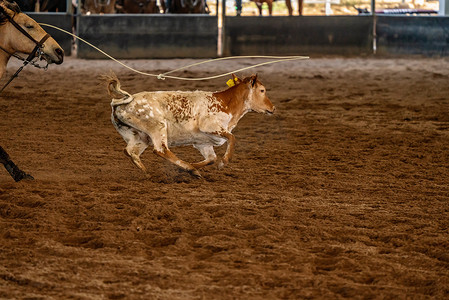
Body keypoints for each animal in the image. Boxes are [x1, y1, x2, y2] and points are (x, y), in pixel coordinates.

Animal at [106, 73, 272, 177]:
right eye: (262, 90)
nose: (273, 108)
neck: (225, 104)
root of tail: (123, 102)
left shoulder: (203, 142)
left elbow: (211, 158)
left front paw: (191, 168)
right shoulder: (211, 128)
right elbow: (232, 138)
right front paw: (223, 162)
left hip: (139, 136)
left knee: (130, 151)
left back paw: (149, 173)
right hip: (158, 127)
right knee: (161, 150)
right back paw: (189, 169)